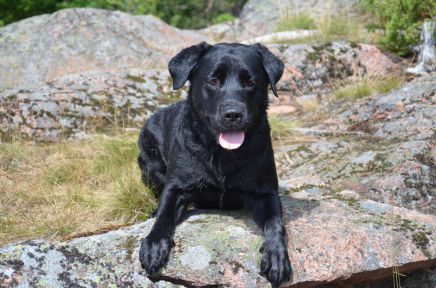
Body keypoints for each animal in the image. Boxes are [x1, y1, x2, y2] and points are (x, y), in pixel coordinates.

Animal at [138, 41, 292, 286]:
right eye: (213, 81)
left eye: (250, 82)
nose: (233, 114)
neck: (223, 154)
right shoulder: (176, 188)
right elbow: (164, 214)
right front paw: (154, 245)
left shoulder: (265, 193)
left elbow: (275, 222)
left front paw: (277, 255)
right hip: (150, 163)